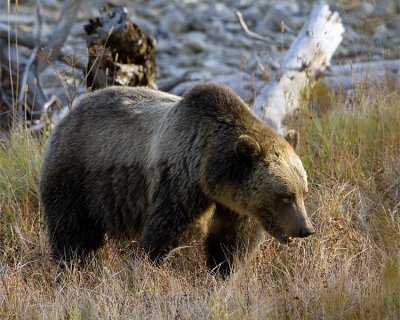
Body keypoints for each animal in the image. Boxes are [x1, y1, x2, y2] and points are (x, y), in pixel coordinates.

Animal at [40, 82, 316, 272]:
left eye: (303, 192)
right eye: (285, 196)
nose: (305, 229)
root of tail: (70, 111)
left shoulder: (234, 203)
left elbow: (233, 241)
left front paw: (224, 270)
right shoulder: (181, 179)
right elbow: (170, 230)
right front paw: (153, 262)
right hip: (79, 174)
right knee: (73, 229)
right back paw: (74, 264)